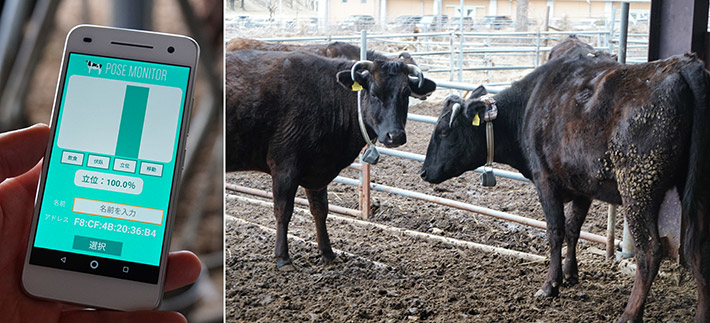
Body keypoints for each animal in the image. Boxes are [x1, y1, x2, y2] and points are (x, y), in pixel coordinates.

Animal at [228, 48, 440, 270]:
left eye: (406, 94)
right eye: (374, 93)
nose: (395, 136)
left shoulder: (316, 167)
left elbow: (320, 210)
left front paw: (328, 253)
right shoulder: (284, 167)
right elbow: (283, 211)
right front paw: (283, 258)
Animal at [422, 37, 710, 322]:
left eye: (444, 131)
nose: (424, 172)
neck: (530, 104)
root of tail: (683, 63)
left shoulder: (545, 180)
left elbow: (555, 230)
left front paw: (550, 284)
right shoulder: (582, 184)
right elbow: (573, 228)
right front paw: (571, 274)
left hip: (638, 188)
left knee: (649, 251)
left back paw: (630, 314)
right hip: (694, 191)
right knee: (698, 251)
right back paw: (701, 314)